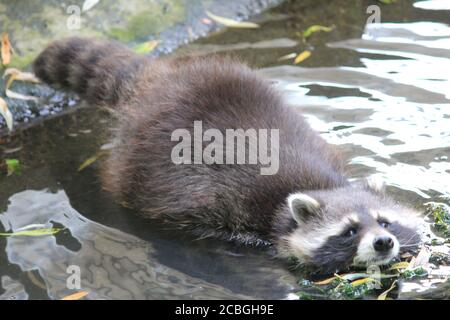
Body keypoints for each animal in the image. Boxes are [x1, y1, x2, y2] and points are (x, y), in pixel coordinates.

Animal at [32, 37, 422, 272]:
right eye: (349, 231)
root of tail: (158, 79)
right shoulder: (227, 213)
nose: (384, 242)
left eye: (385, 222)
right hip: (143, 161)